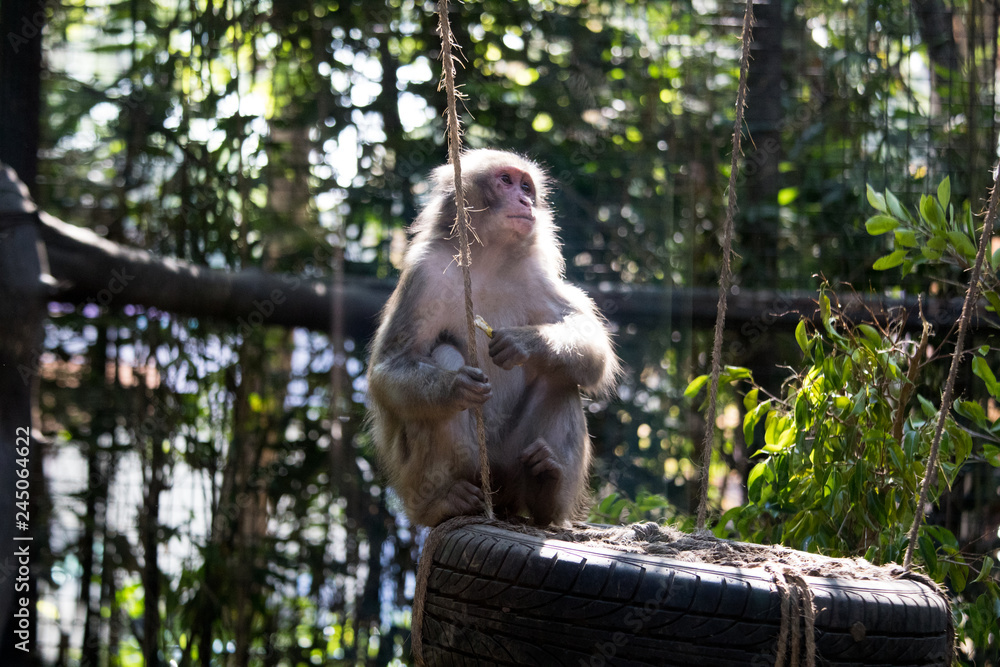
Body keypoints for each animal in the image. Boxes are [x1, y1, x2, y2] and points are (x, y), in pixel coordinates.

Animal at [366, 149, 619, 527]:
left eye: (527, 186)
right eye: (506, 181)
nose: (526, 200)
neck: (486, 259)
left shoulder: (536, 275)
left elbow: (592, 346)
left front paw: (525, 343)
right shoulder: (424, 274)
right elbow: (389, 366)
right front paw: (455, 387)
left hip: (515, 458)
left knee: (560, 378)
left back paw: (547, 491)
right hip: (446, 469)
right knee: (442, 357)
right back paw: (443, 503)